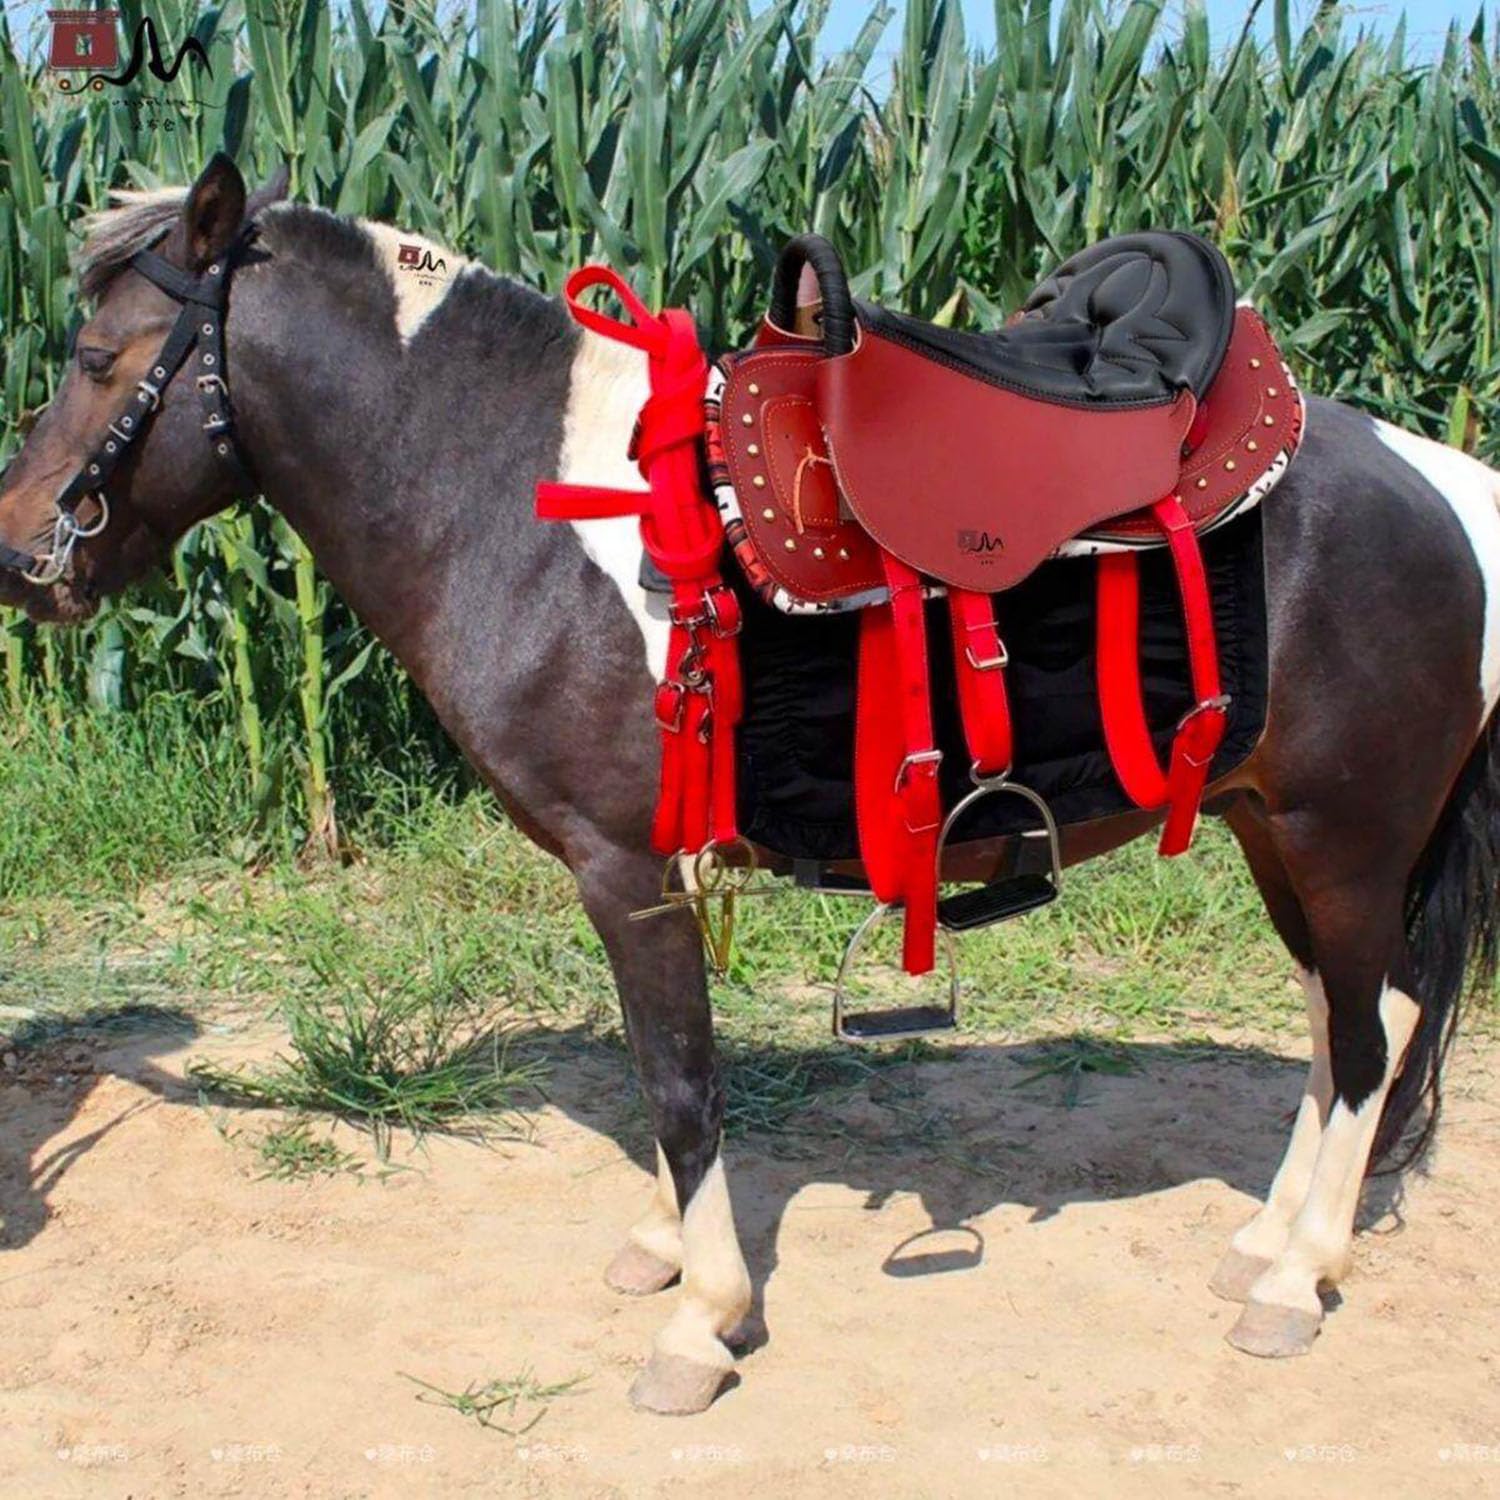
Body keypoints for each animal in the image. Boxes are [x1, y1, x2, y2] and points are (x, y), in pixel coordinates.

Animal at [2, 156, 1498, 1415]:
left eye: (96, 358)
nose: (22, 554)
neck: (531, 501)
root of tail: (1450, 485)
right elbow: (661, 1082)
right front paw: (668, 1255)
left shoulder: (626, 874)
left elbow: (680, 1085)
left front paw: (702, 1324)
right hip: (1271, 830)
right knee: (1341, 1027)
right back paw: (1269, 1237)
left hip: (1345, 837)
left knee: (1371, 1036)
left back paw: (1295, 1283)